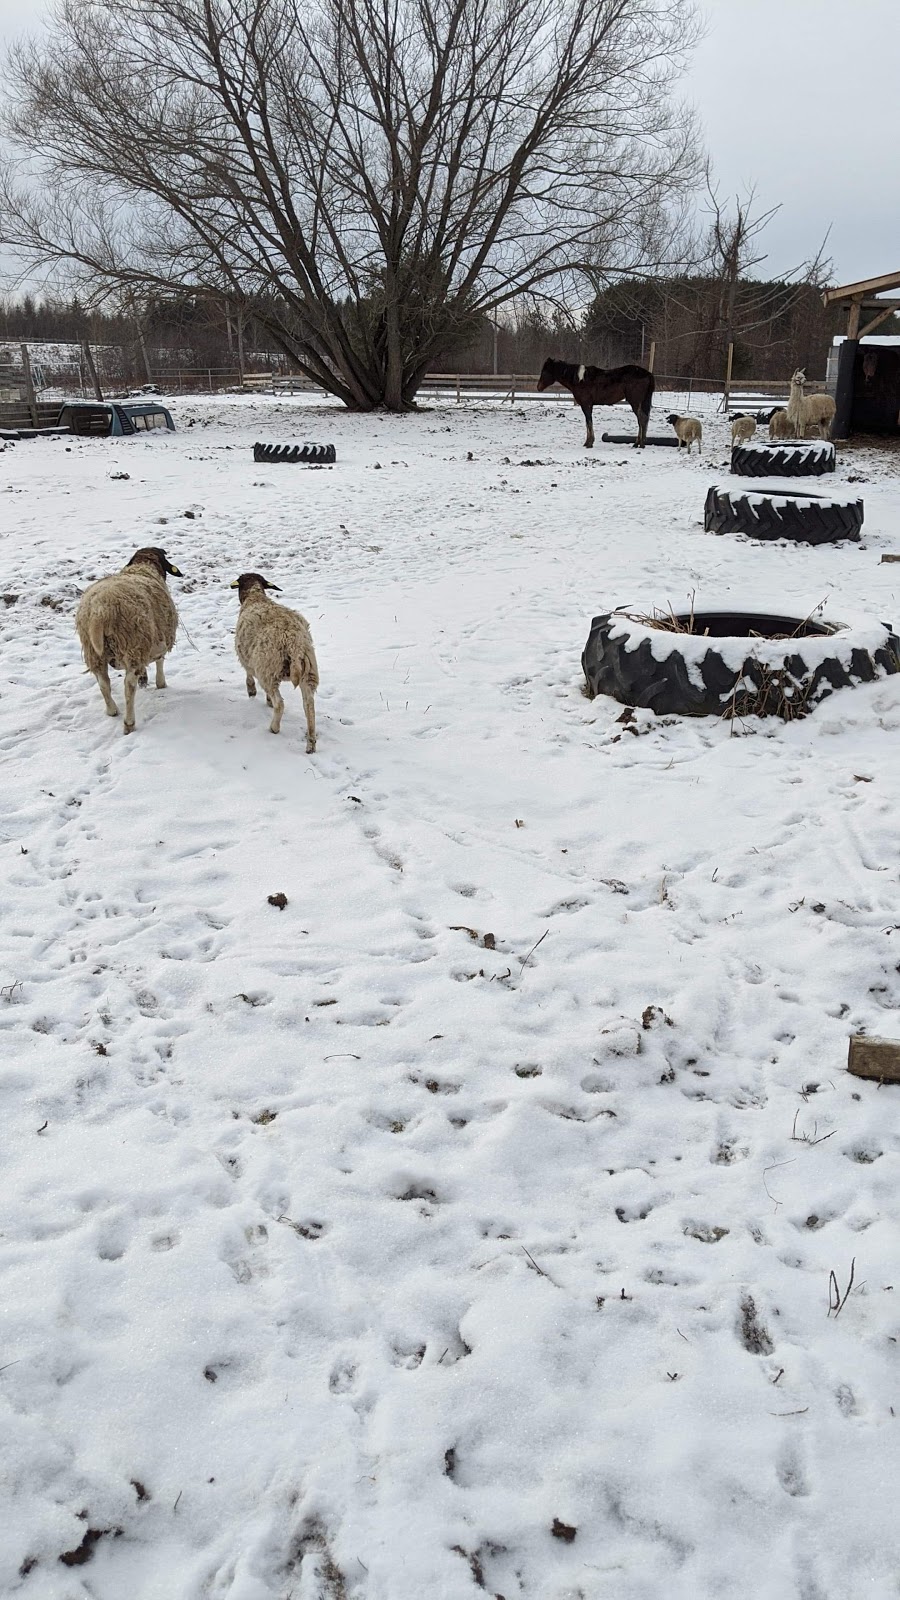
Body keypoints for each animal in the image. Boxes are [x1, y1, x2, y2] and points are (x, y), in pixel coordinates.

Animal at [230, 576, 318, 748]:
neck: (255, 596)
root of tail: (293, 642)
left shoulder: (246, 655)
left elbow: (248, 674)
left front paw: (252, 691)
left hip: (268, 671)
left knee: (280, 703)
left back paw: (274, 728)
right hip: (308, 671)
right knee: (309, 705)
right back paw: (311, 743)